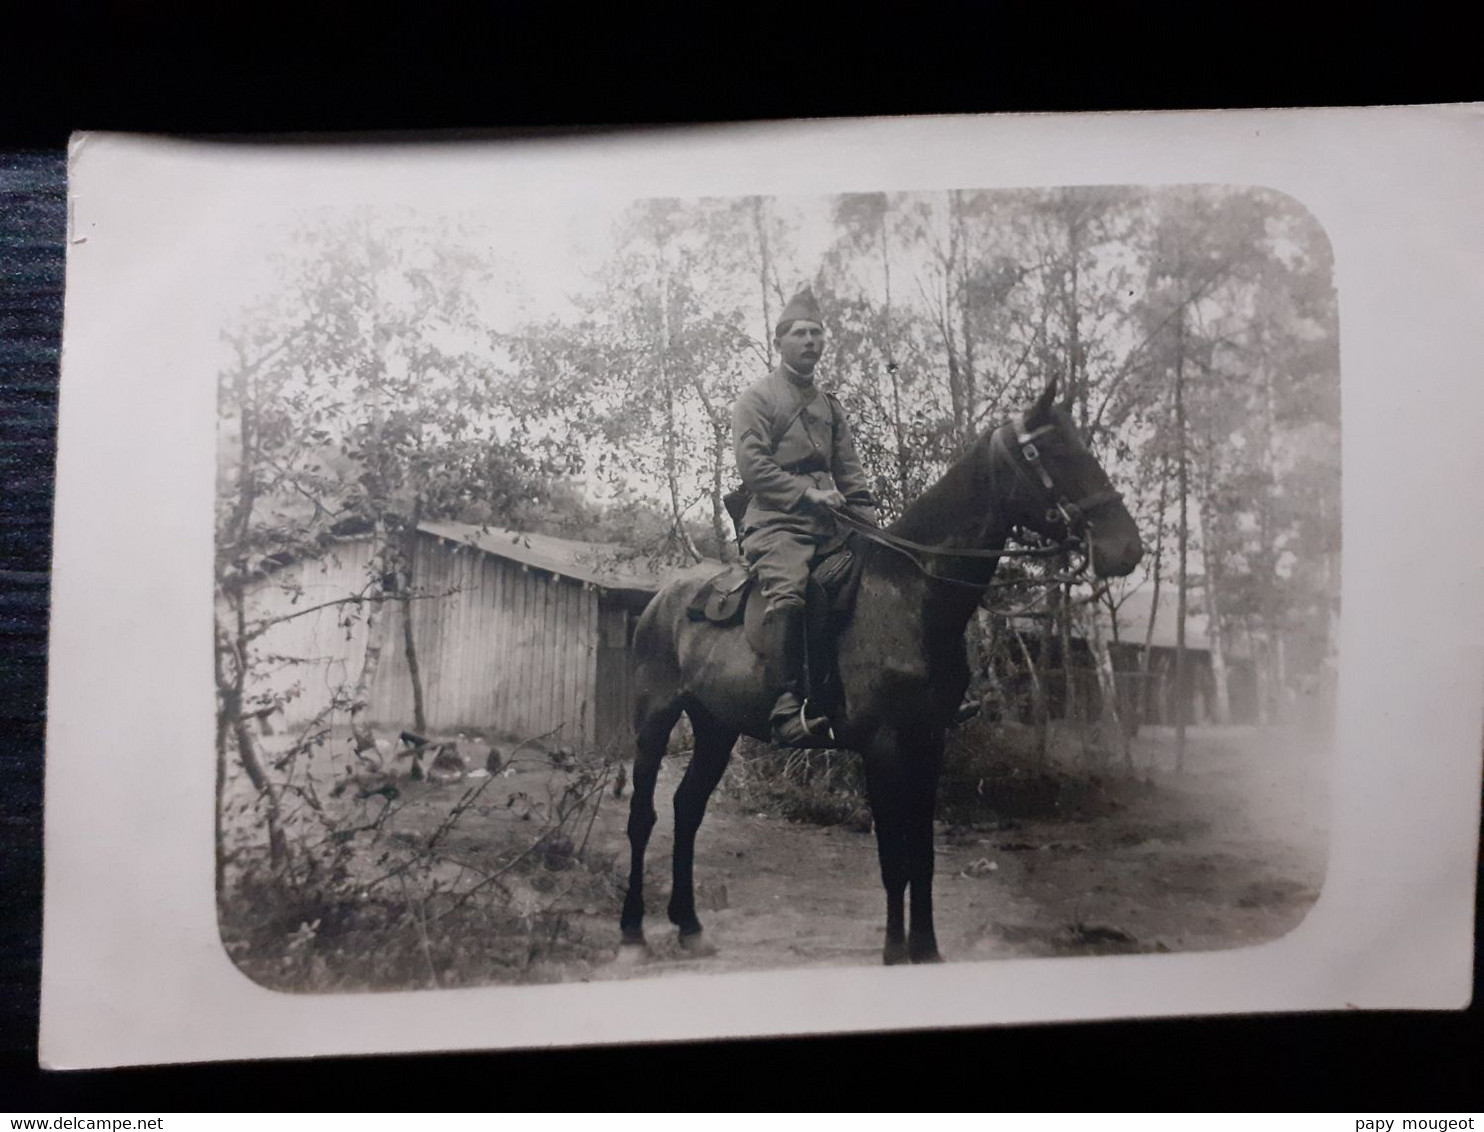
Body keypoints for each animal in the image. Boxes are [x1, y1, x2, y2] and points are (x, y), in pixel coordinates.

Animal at [620, 379, 1139, 967]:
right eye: (1051, 451)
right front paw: (895, 951)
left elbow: (922, 856)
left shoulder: (928, 740)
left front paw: (927, 948)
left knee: (687, 808)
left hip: (716, 728)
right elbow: (894, 858)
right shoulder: (883, 745)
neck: (914, 595)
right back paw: (633, 932)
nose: (1127, 548)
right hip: (655, 723)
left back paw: (689, 926)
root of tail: (661, 599)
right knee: (643, 816)